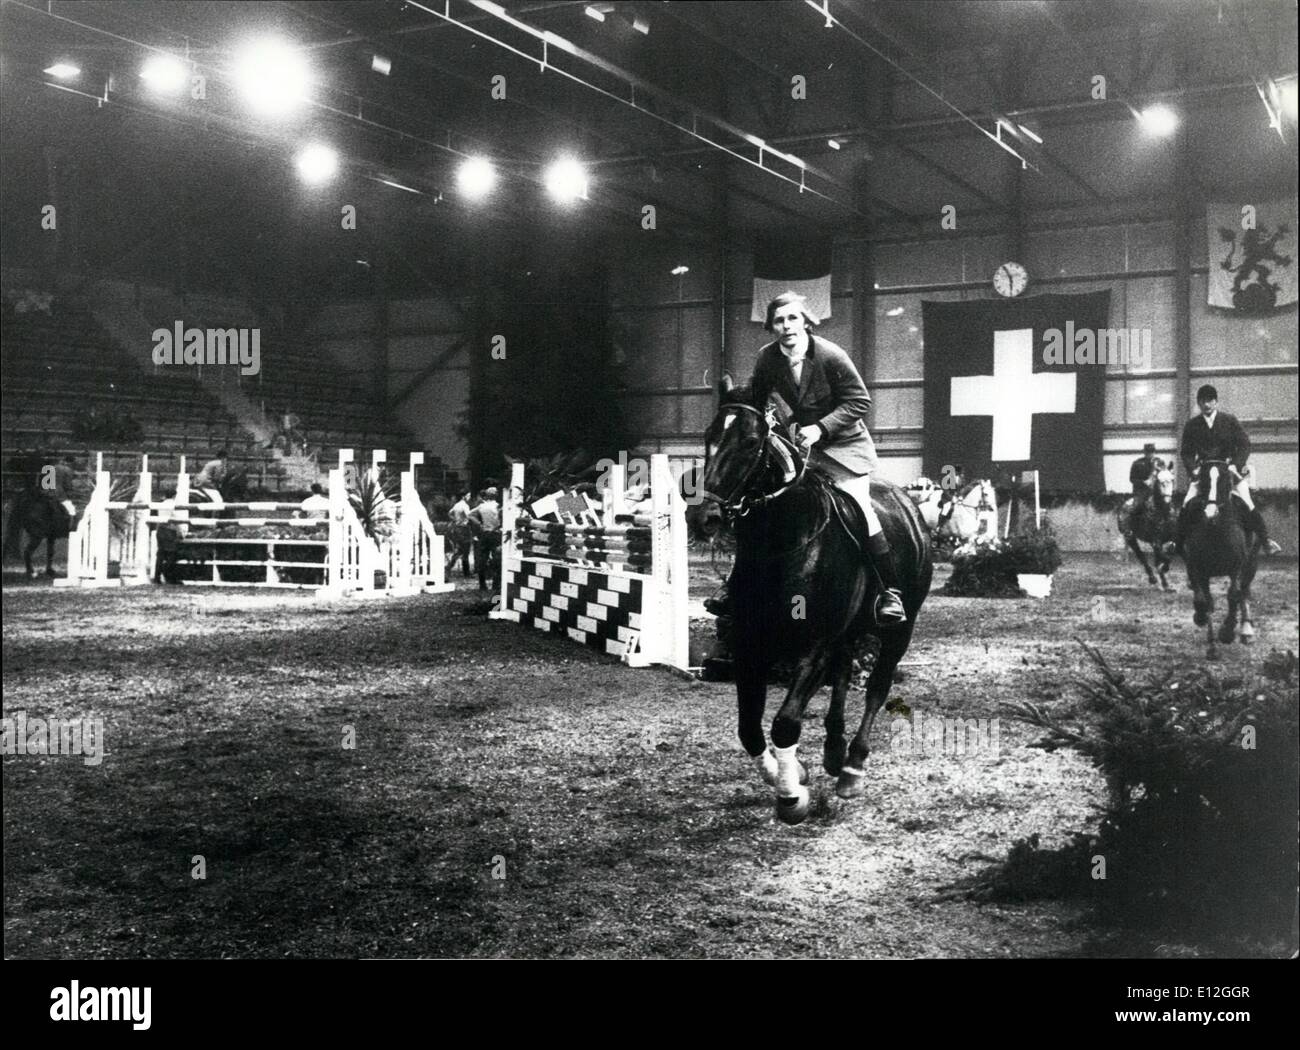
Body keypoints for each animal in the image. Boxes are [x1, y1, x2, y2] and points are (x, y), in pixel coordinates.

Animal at [702, 397, 935, 826]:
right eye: (709, 437)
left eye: (750, 442)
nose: (703, 518)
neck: (781, 543)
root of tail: (907, 503)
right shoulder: (748, 645)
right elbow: (749, 729)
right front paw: (790, 771)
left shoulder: (814, 645)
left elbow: (785, 723)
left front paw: (791, 797)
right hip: (850, 632)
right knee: (843, 674)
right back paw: (833, 749)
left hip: (900, 629)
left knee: (877, 687)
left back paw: (852, 766)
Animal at [1185, 457, 1253, 654]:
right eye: (1203, 481)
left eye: (1225, 481)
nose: (1210, 513)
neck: (1216, 530)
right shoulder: (1197, 568)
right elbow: (1203, 600)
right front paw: (1211, 642)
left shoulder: (1237, 566)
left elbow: (1234, 595)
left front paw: (1227, 632)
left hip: (1251, 564)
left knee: (1244, 591)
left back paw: (1246, 630)